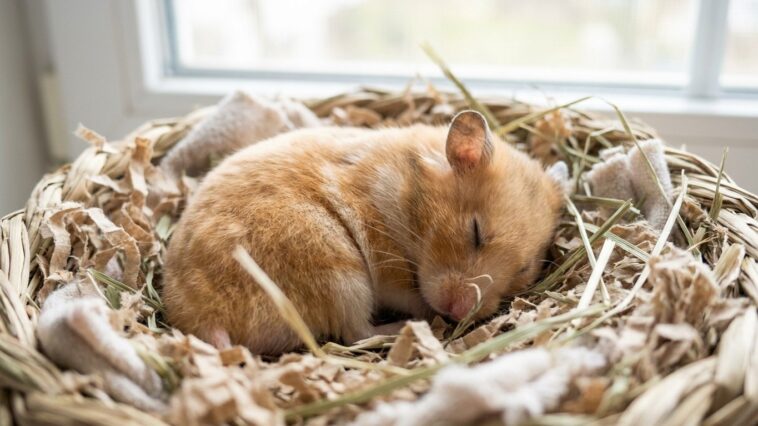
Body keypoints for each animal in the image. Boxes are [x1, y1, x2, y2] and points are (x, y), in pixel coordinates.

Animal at [162, 111, 565, 354]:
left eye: (524, 269)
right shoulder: (385, 266)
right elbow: (405, 293)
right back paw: (411, 326)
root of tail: (208, 320)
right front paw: (427, 312)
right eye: (475, 232)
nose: (459, 312)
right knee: (355, 333)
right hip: (340, 274)